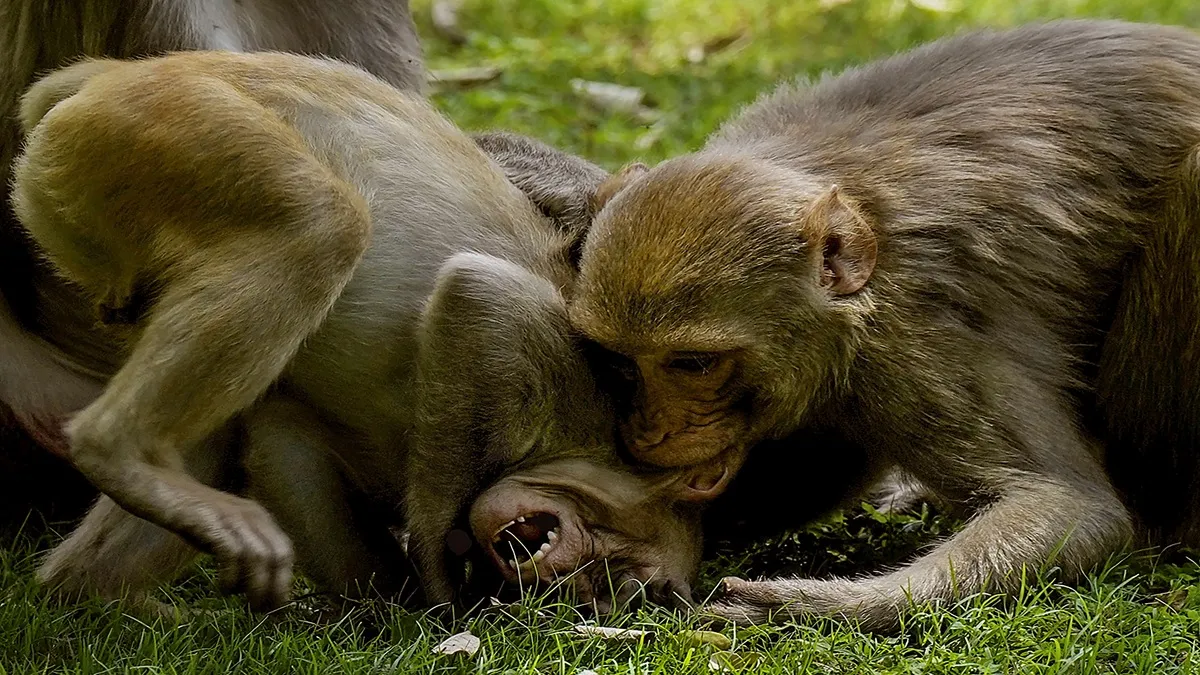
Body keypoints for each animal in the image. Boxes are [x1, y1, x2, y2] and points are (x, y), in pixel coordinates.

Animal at [14, 50, 708, 613]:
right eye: (616, 566)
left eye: (615, 586)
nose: (574, 579)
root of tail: (112, 77)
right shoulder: (569, 384)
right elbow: (481, 298)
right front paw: (442, 590)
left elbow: (282, 437)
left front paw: (396, 599)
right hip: (162, 127)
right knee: (317, 225)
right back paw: (121, 452)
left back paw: (82, 594)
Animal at [568, 19, 1200, 630]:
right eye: (622, 363)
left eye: (693, 364)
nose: (649, 432)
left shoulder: (911, 347)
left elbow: (1069, 504)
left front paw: (821, 605)